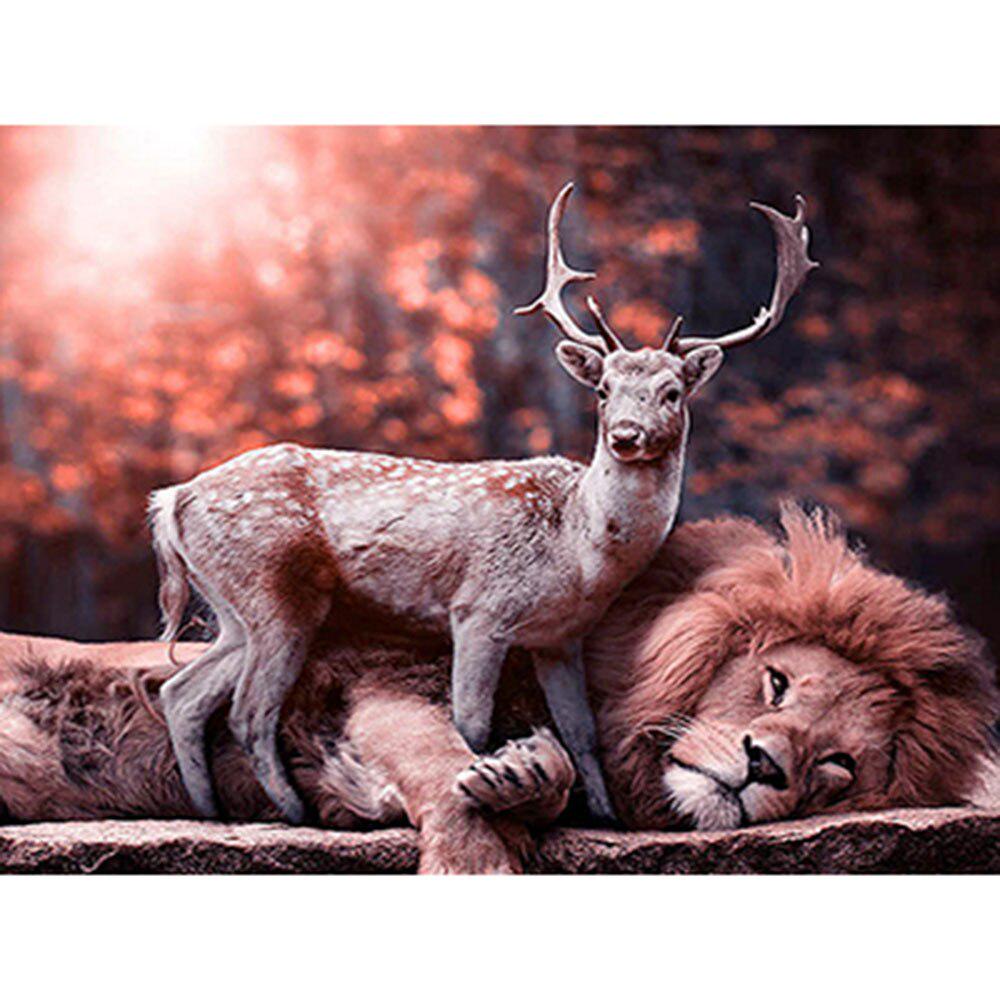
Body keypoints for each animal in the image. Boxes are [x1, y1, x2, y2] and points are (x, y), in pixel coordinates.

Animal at [0, 505, 996, 872]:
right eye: (776, 682)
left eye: (836, 767)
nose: (764, 767)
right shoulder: (380, 680)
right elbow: (446, 776)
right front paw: (478, 857)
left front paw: (527, 773)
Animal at [148, 182, 818, 825]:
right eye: (603, 390)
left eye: (672, 391)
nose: (626, 435)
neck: (578, 552)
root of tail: (173, 499)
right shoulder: (478, 609)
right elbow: (471, 723)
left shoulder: (560, 636)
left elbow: (583, 732)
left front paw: (605, 815)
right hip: (275, 592)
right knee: (249, 711)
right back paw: (297, 813)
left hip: (235, 609)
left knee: (182, 693)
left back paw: (210, 809)